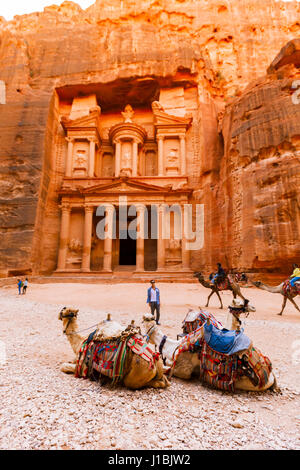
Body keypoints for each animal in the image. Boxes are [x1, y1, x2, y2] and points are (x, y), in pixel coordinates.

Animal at [142, 302, 278, 392]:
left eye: (142, 322)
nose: (253, 307)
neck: (174, 347)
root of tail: (270, 377)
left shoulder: (184, 371)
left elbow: (171, 369)